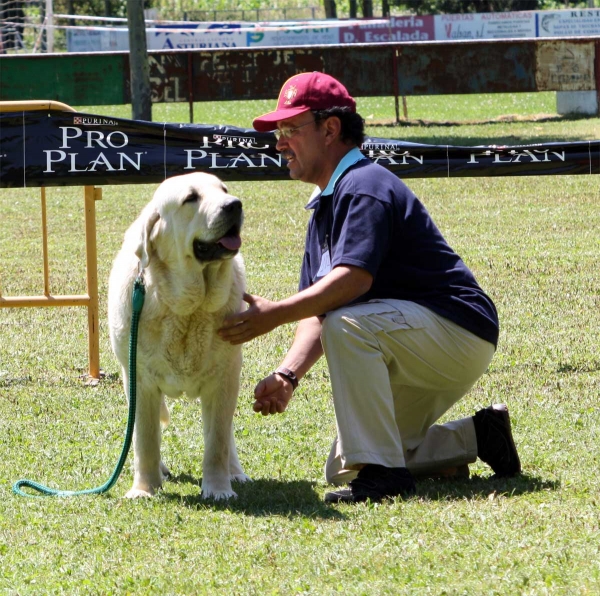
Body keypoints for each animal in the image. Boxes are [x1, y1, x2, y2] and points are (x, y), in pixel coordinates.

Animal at [107, 171, 248, 498]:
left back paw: (235, 473)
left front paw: (218, 488)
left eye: (224, 189)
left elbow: (217, 441)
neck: (187, 309)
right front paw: (145, 489)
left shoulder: (224, 380)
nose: (234, 204)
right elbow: (145, 439)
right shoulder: (140, 381)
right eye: (191, 198)